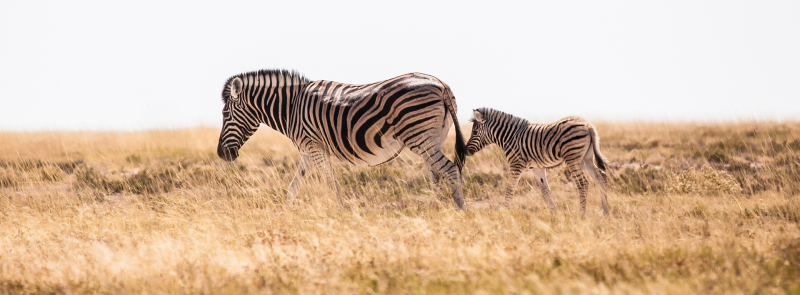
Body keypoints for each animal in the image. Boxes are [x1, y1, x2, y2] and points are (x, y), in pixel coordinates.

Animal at [217, 69, 468, 208]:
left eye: (225, 114)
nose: (221, 154)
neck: (292, 107)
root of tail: (441, 84)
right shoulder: (310, 150)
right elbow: (293, 187)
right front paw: (283, 215)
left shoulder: (315, 147)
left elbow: (331, 184)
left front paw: (341, 212)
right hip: (433, 138)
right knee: (435, 175)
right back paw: (436, 209)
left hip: (419, 137)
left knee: (449, 169)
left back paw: (460, 210)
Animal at [466, 108, 608, 215]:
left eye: (475, 132)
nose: (466, 151)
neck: (510, 137)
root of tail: (588, 125)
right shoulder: (537, 168)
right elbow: (546, 192)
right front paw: (554, 213)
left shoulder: (516, 165)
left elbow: (510, 189)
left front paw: (505, 212)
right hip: (586, 159)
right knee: (601, 177)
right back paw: (605, 210)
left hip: (572, 158)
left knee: (583, 183)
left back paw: (582, 213)